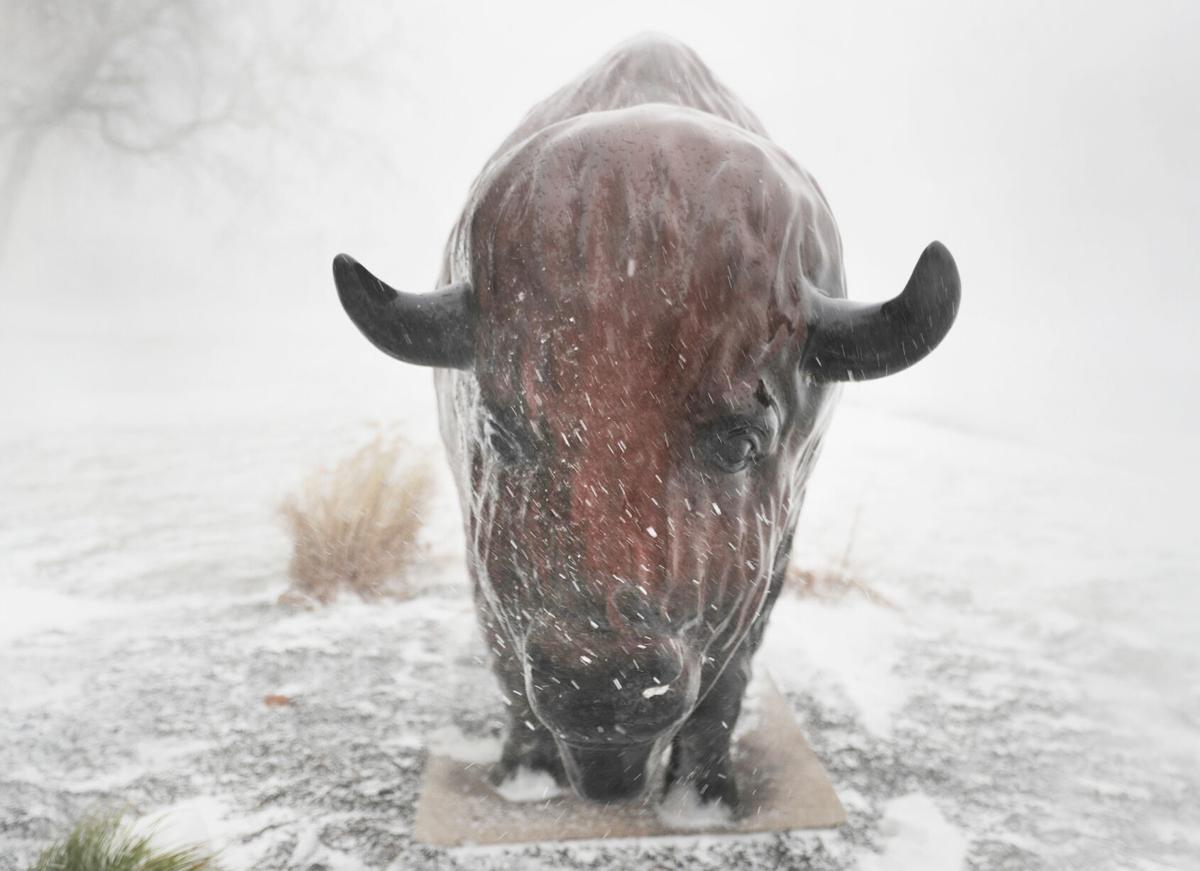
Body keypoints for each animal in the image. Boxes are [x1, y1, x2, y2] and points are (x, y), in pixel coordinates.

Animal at [333, 34, 959, 807]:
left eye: (741, 441)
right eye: (502, 429)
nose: (602, 683)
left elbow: (726, 688)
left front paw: (709, 793)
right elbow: (509, 674)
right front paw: (524, 778)